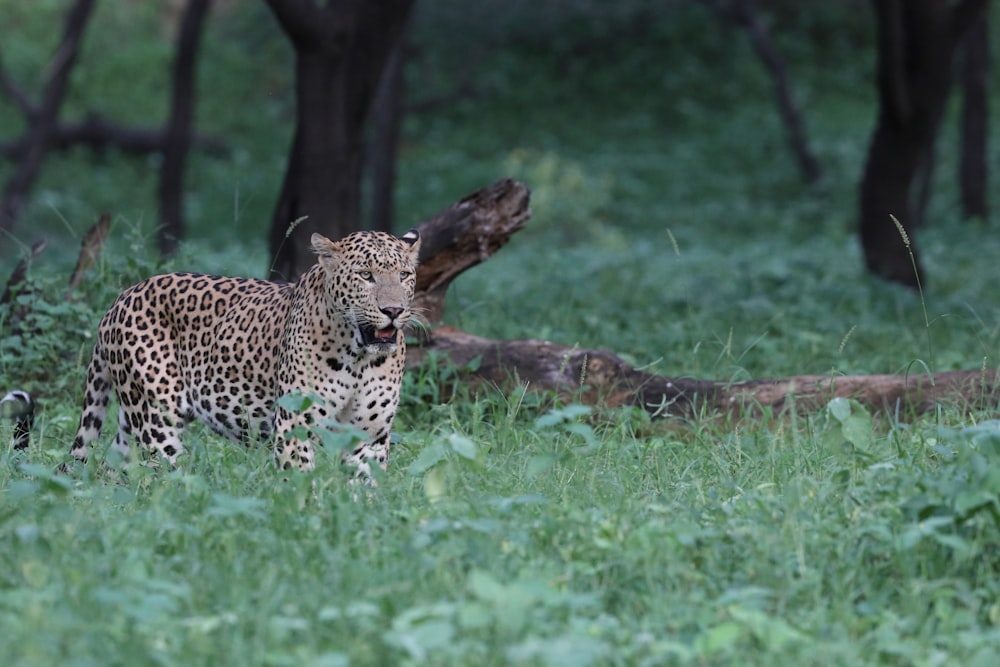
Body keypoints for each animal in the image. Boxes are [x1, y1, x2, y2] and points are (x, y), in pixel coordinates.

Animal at [69, 227, 422, 478]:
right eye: (365, 275)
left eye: (404, 275)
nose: (393, 310)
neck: (359, 358)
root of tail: (121, 298)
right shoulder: (294, 426)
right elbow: (299, 484)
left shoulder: (370, 436)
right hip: (156, 416)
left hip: (132, 419)